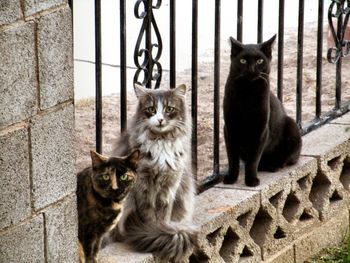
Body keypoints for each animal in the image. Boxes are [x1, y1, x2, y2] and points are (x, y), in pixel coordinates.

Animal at [110, 84, 198, 262]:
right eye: (151, 109)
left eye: (169, 109)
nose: (160, 120)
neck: (161, 141)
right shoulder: (143, 187)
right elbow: (149, 215)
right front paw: (154, 231)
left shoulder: (169, 187)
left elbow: (164, 216)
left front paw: (163, 231)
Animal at [224, 35, 300, 188]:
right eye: (242, 60)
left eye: (260, 61)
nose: (251, 69)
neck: (246, 93)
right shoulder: (229, 128)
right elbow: (232, 158)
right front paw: (231, 178)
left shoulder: (260, 130)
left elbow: (253, 159)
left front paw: (251, 180)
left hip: (292, 125)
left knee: (287, 159)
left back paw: (273, 165)